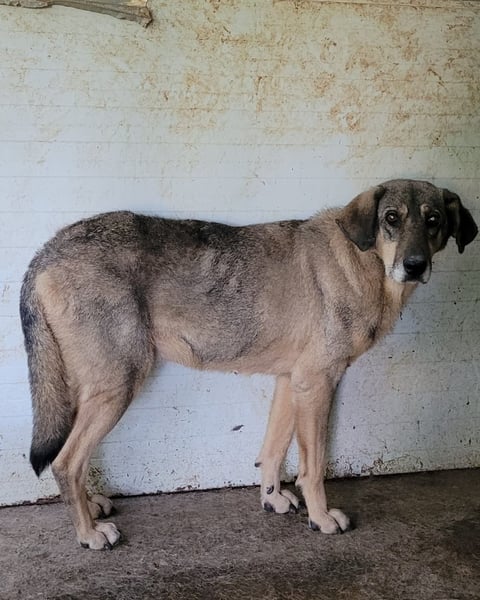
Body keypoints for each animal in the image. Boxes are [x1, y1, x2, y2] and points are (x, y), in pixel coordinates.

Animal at [20, 179, 477, 550]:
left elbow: (272, 451)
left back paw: (90, 505)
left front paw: (271, 498)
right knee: (65, 462)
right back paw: (88, 534)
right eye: (391, 219)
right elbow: (313, 467)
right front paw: (321, 518)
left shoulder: (291, 382)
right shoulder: (317, 384)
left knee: (71, 456)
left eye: (434, 220)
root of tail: (47, 250)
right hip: (119, 384)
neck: (364, 263)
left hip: (90, 388)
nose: (414, 266)